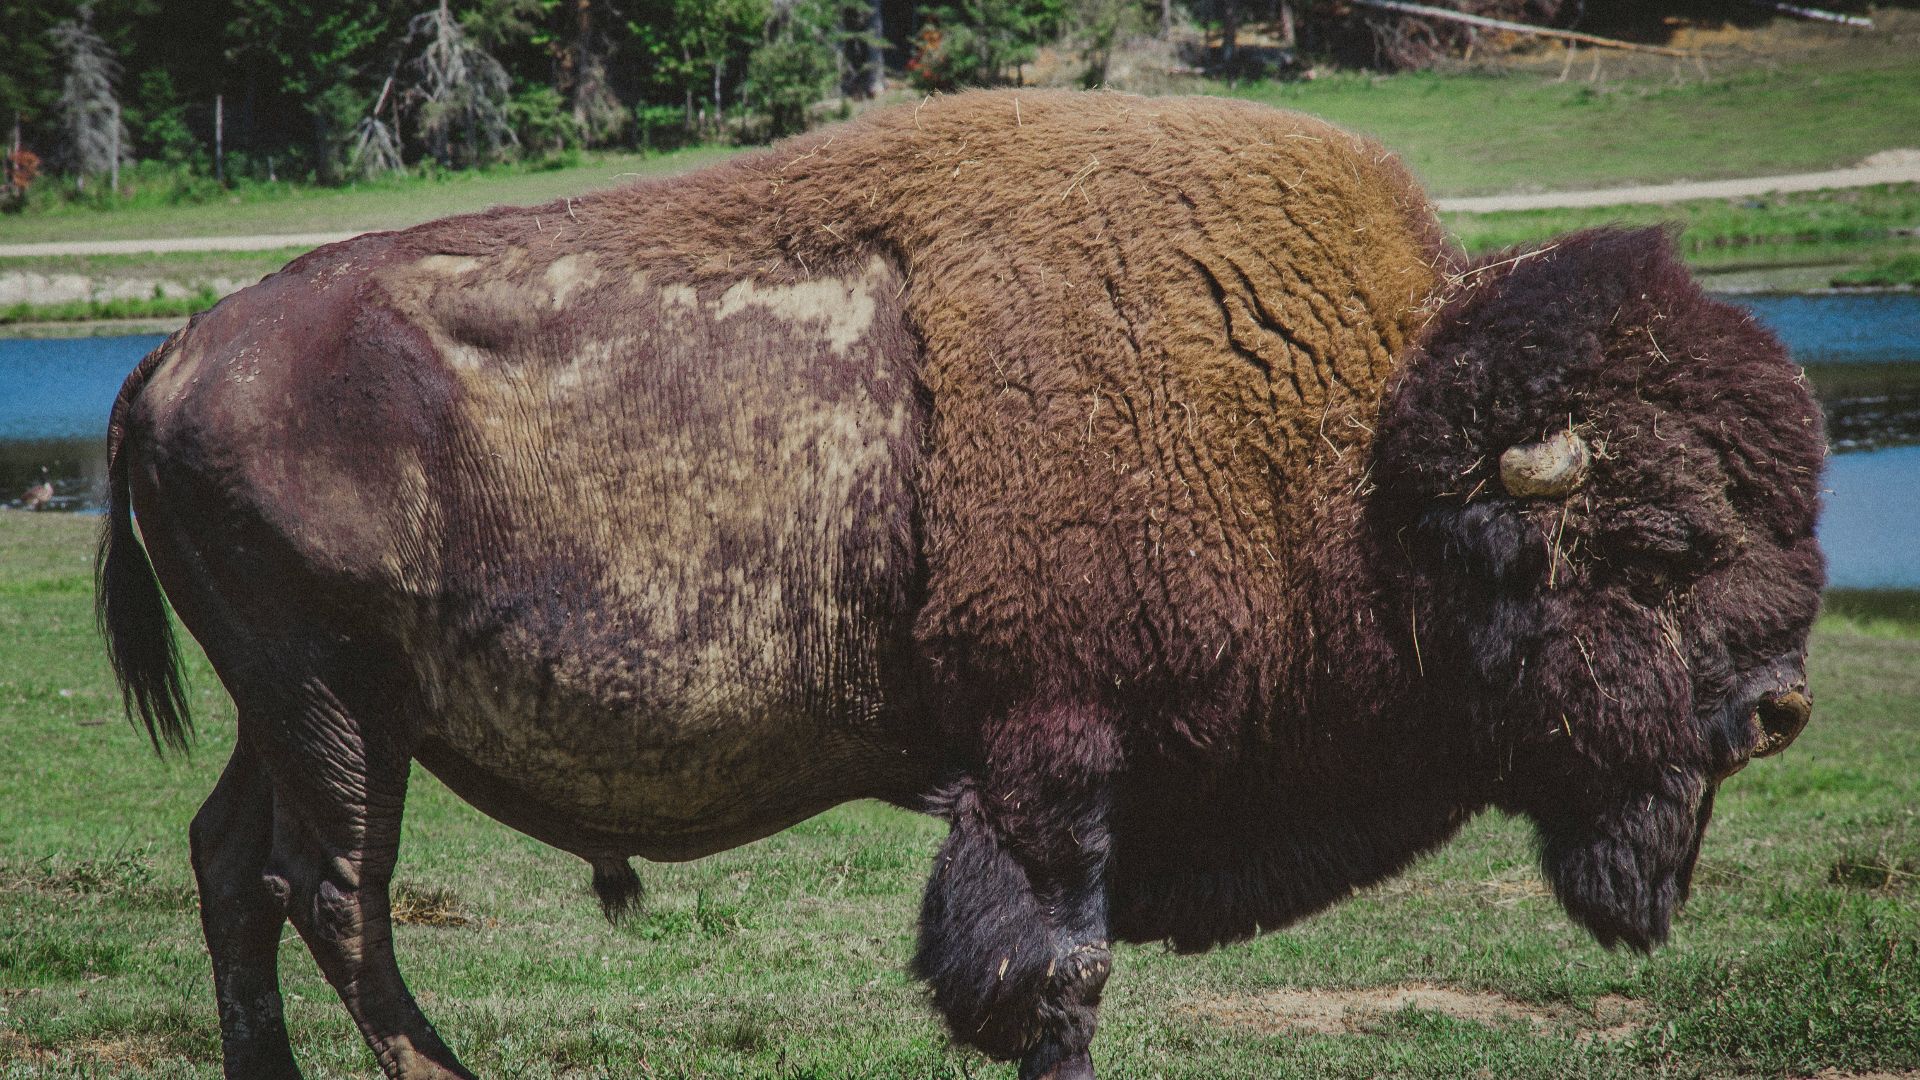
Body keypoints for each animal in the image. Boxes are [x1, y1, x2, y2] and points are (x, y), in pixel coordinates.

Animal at [96, 90, 1824, 1079]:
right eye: (1669, 543)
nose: (1779, 707)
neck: (1361, 447)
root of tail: (169, 358)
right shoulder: (1051, 760)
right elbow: (1051, 978)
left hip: (289, 707)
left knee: (233, 868)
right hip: (331, 697)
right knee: (332, 891)